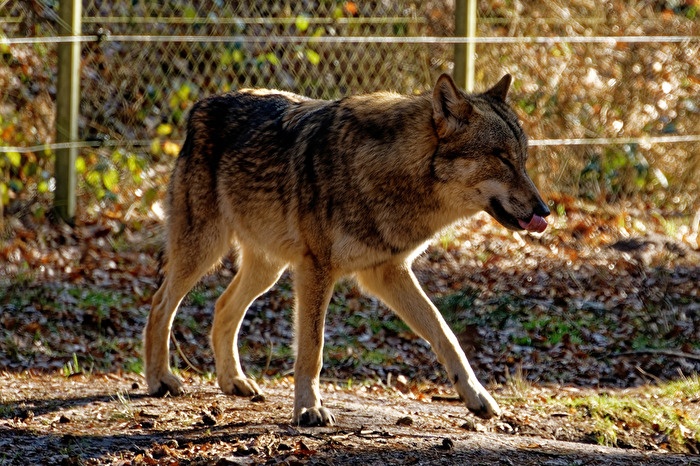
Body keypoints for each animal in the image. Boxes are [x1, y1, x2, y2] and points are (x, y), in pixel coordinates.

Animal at [143, 73, 550, 426]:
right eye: (501, 158)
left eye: (524, 160)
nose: (544, 211)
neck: (397, 175)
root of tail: (203, 103)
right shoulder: (317, 269)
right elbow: (313, 348)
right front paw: (309, 409)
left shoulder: (387, 273)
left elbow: (445, 333)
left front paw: (476, 396)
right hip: (204, 250)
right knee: (161, 303)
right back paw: (160, 380)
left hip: (267, 268)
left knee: (223, 306)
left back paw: (233, 382)